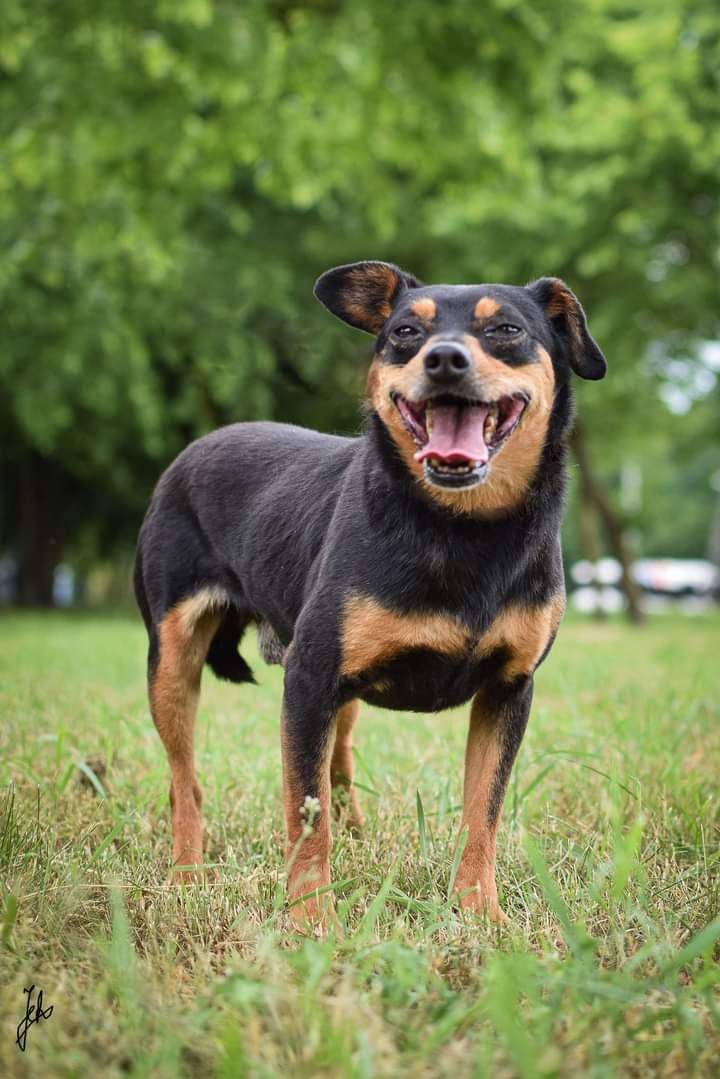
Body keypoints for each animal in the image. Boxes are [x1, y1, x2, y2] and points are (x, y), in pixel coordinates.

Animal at [132, 261, 604, 927]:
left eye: (506, 329)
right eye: (405, 332)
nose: (445, 359)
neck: (460, 527)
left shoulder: (509, 688)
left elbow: (482, 812)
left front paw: (479, 913)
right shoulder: (309, 679)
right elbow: (305, 814)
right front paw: (311, 920)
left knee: (340, 761)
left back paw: (354, 834)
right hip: (172, 660)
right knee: (185, 781)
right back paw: (186, 873)